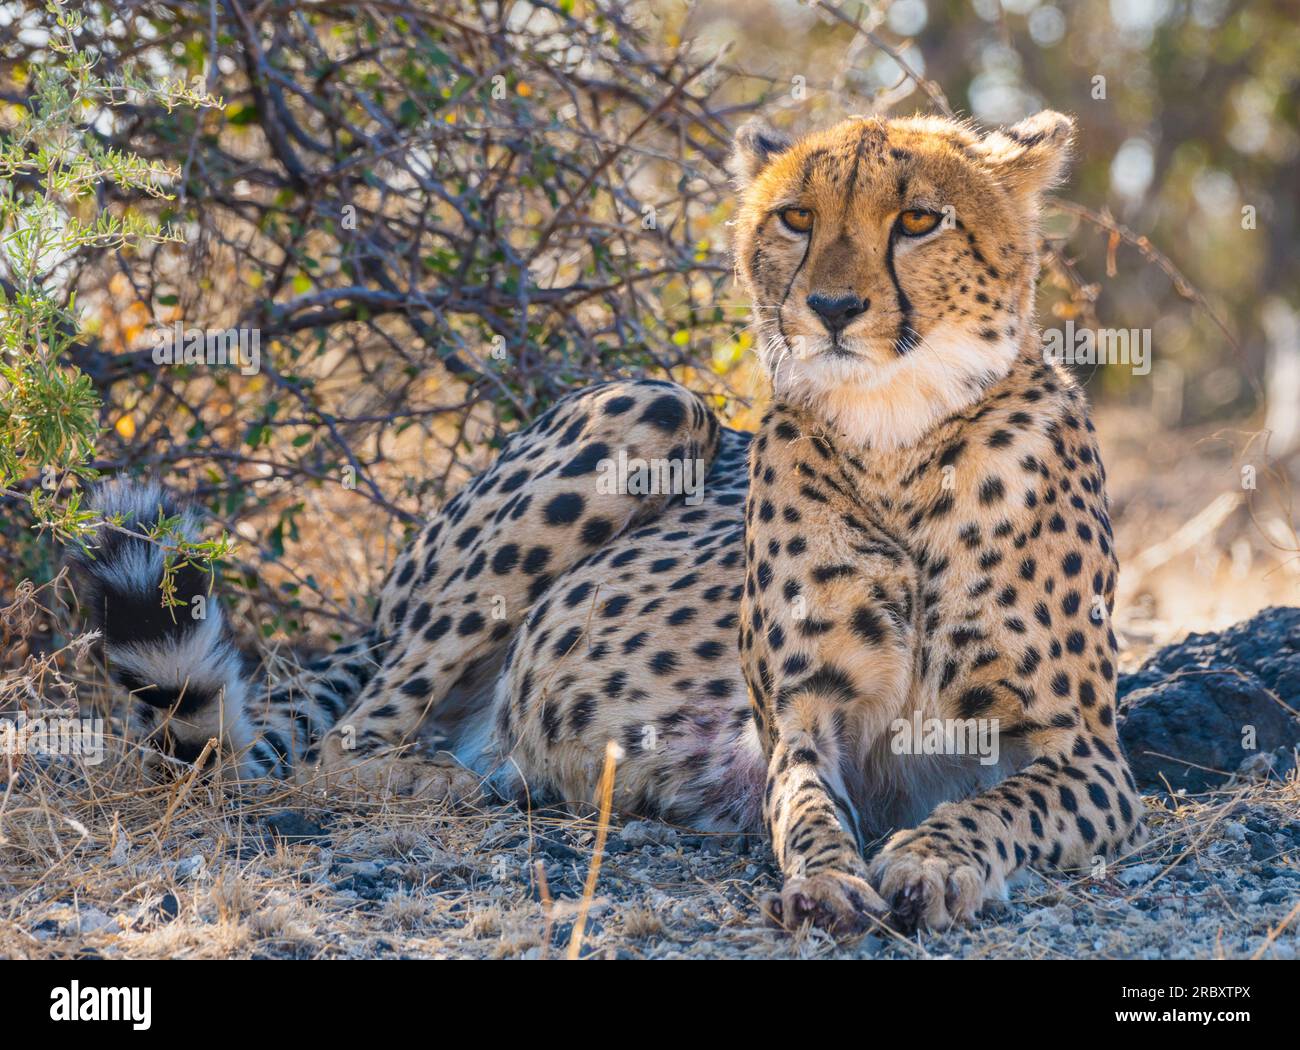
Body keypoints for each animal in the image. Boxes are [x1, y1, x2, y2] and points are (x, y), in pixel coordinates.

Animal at [73, 108, 1149, 935]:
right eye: (796, 217)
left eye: (920, 218)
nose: (833, 307)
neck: (896, 436)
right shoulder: (801, 723)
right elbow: (804, 810)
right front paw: (829, 881)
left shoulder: (1087, 756)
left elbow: (994, 806)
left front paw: (930, 859)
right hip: (654, 407)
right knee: (342, 742)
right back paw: (448, 782)